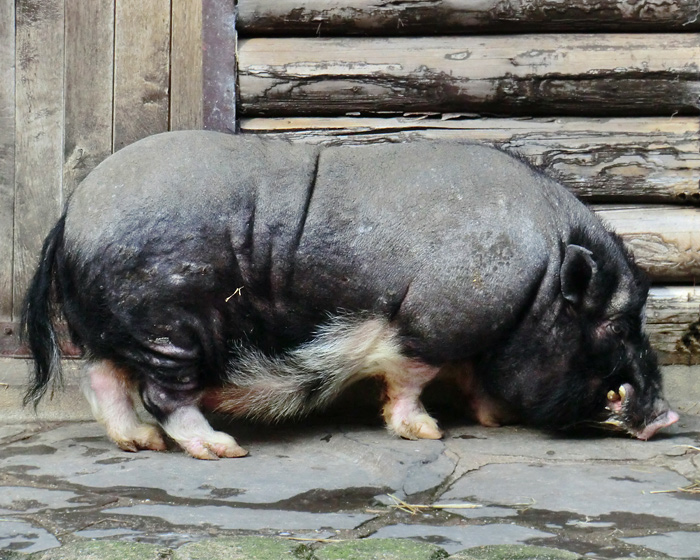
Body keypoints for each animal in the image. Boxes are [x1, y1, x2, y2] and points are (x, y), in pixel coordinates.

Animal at [23, 131, 680, 460]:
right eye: (616, 324)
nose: (669, 417)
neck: (540, 276)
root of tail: (71, 214)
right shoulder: (429, 321)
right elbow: (413, 377)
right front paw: (428, 433)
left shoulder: (470, 331)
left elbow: (474, 376)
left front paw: (496, 419)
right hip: (172, 327)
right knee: (162, 393)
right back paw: (221, 449)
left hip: (118, 327)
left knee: (102, 376)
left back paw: (138, 443)